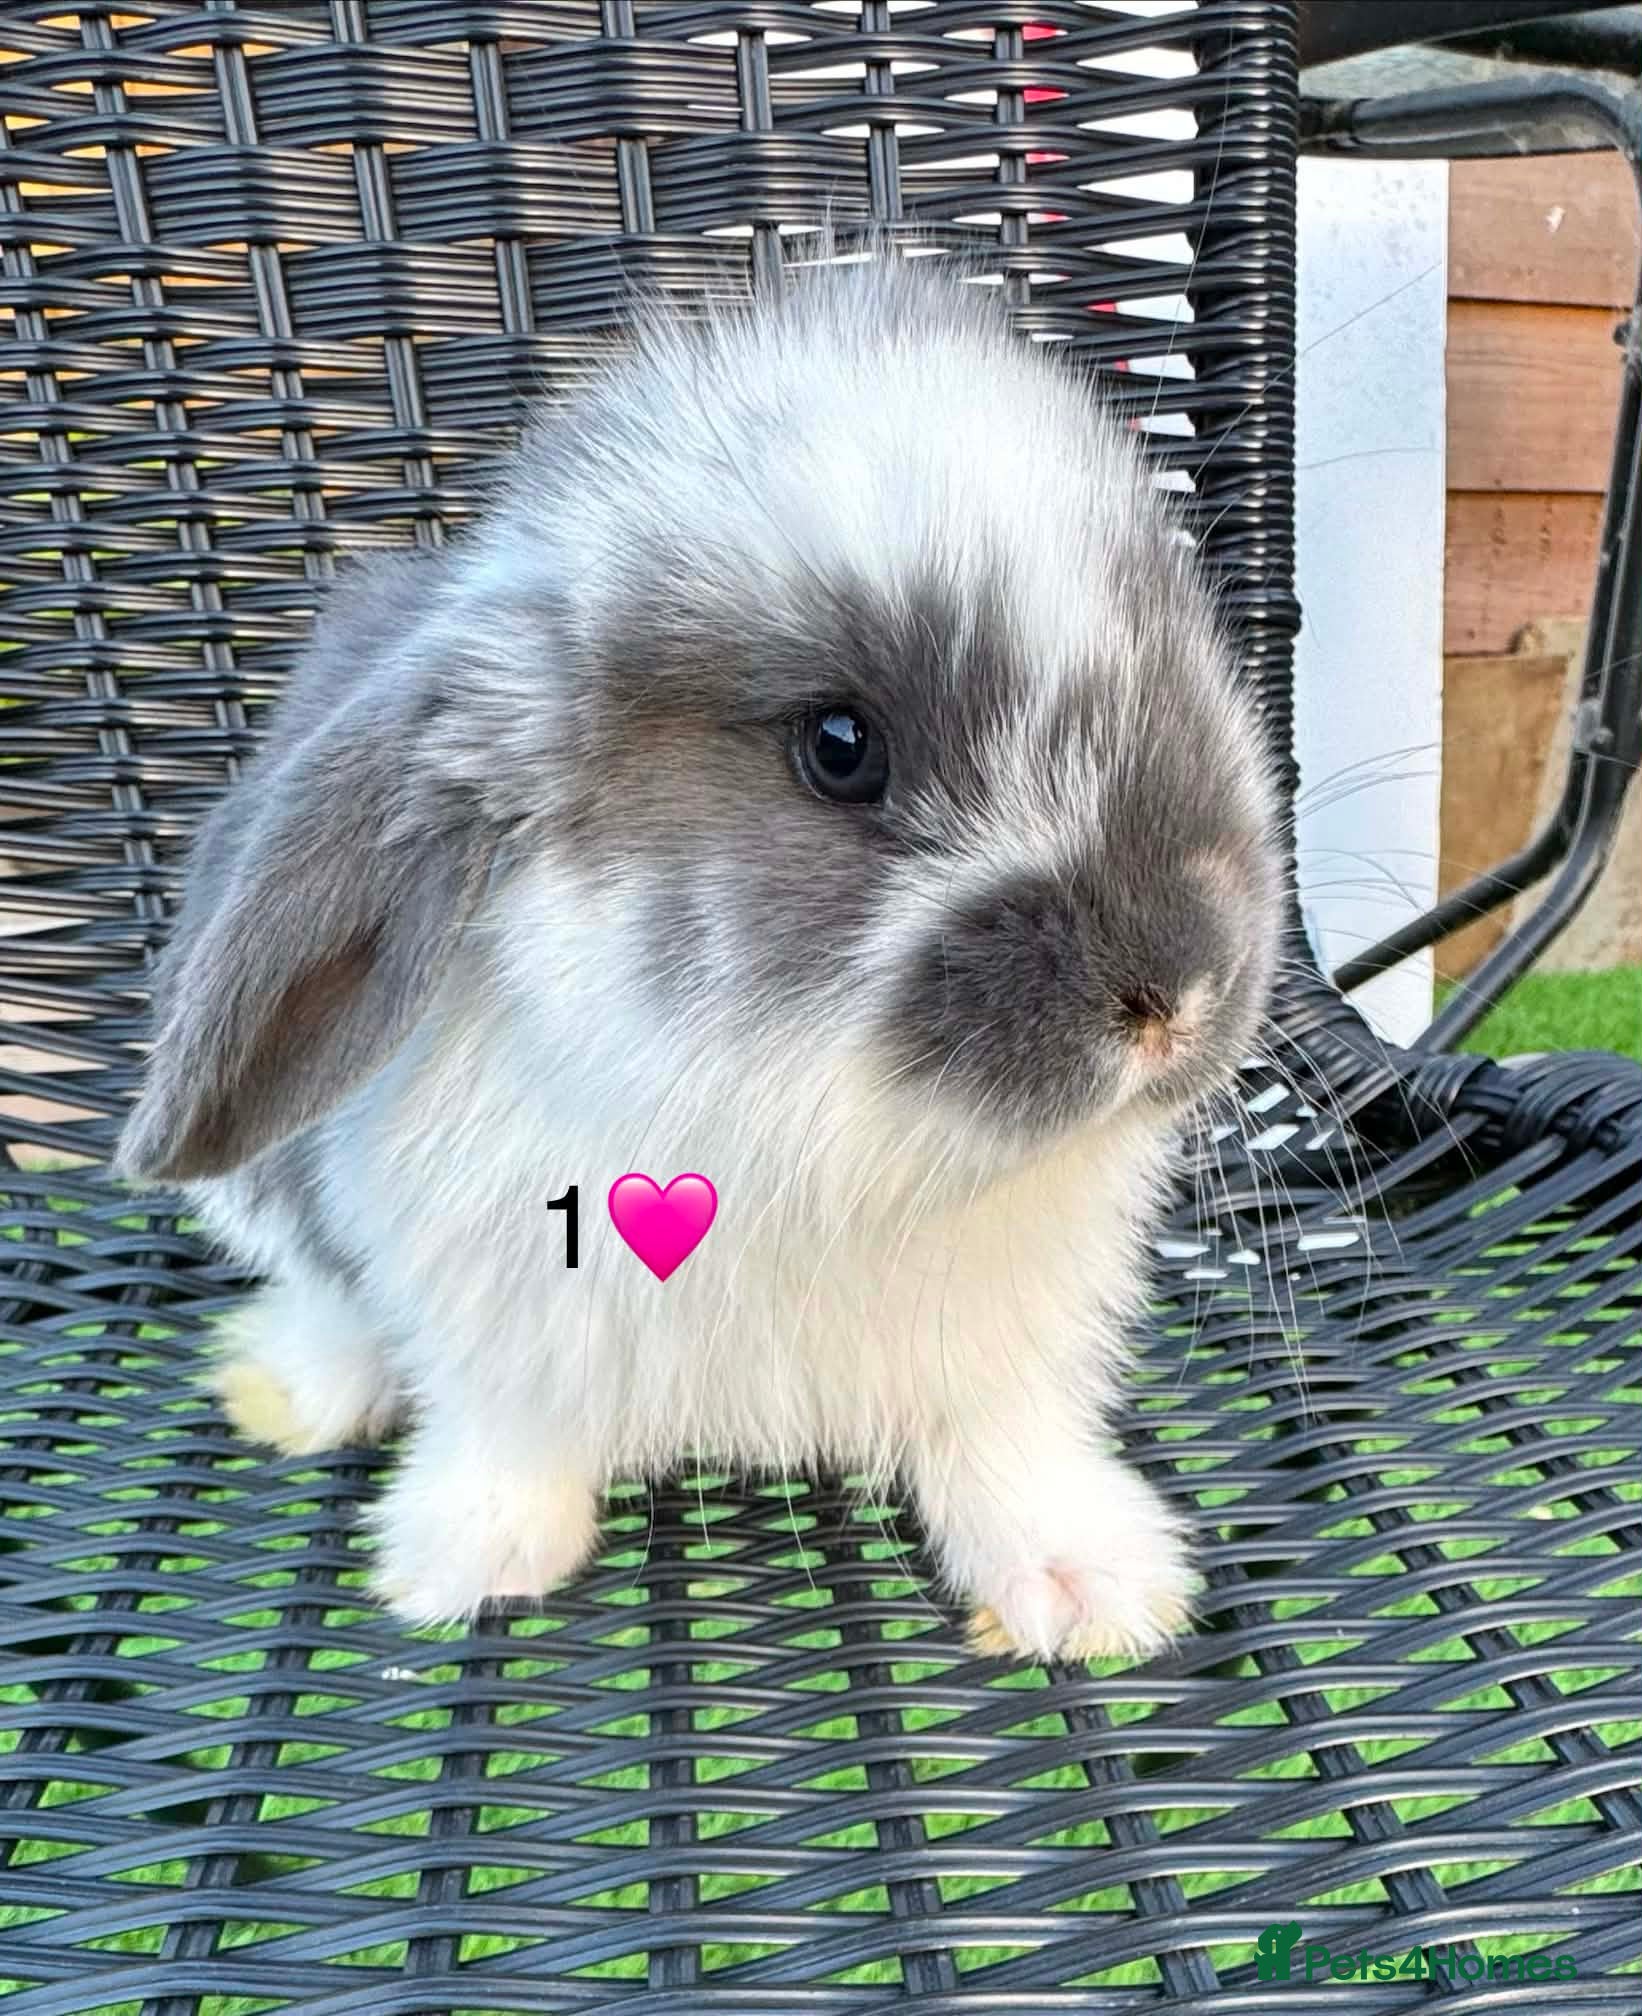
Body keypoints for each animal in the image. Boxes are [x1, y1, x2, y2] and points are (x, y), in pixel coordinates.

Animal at [115, 250, 1283, 1659]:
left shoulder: (1009, 1346)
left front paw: (1088, 1590)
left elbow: (1007, 1446)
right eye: (839, 745)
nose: (1179, 993)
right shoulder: (490, 1319)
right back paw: (291, 1388)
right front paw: (468, 1562)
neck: (813, 1132)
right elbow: (502, 1435)